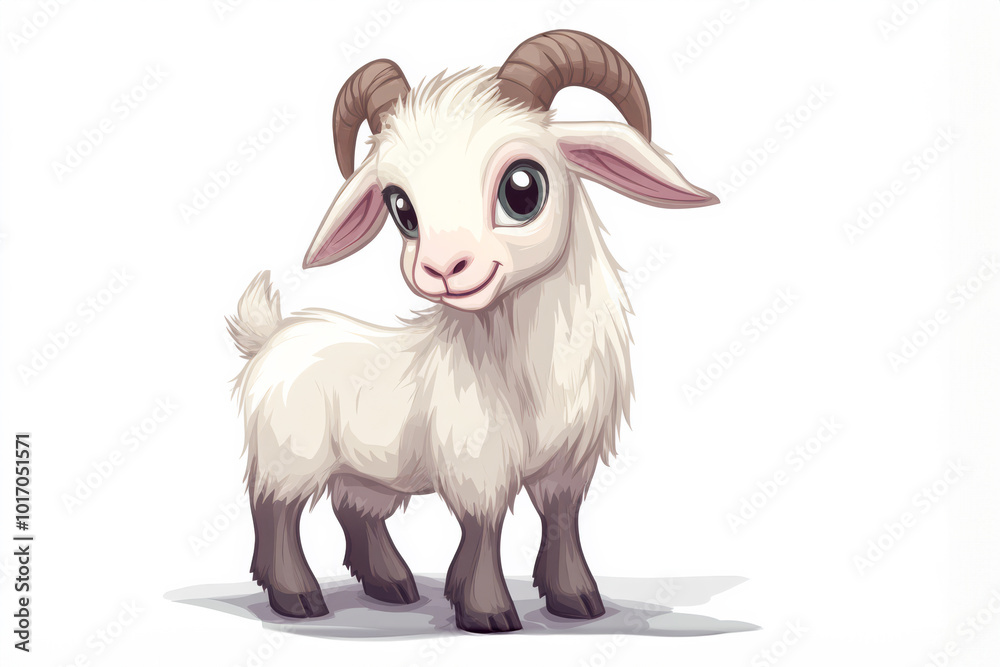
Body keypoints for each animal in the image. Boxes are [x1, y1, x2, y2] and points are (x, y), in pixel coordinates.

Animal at [228, 30, 718, 634]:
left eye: (523, 187)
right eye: (401, 208)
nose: (441, 268)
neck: (529, 370)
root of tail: (271, 335)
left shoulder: (568, 463)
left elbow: (562, 522)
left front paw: (578, 600)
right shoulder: (475, 460)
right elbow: (484, 531)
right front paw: (487, 611)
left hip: (362, 470)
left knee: (354, 511)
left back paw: (393, 585)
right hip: (288, 455)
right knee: (274, 514)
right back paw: (296, 597)